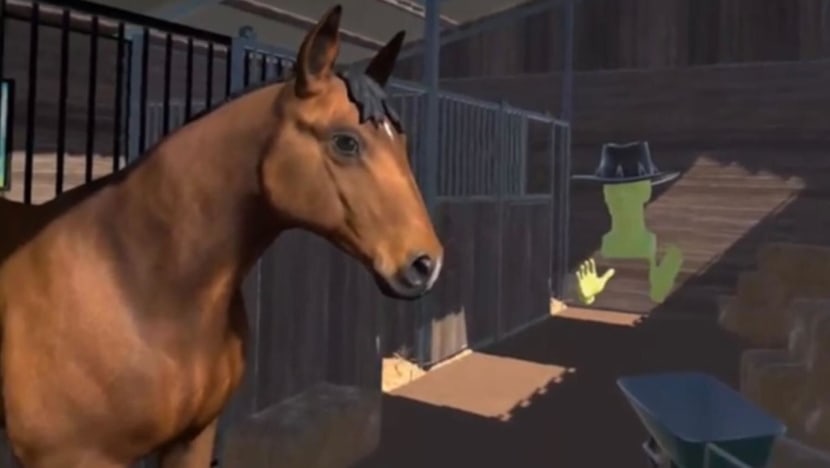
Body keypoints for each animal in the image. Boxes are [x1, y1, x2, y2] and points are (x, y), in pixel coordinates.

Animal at [0, 4, 443, 467]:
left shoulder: (193, 438)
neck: (136, 280)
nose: (426, 263)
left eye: (401, 141)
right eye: (345, 142)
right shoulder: (73, 455)